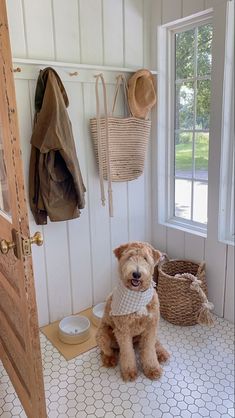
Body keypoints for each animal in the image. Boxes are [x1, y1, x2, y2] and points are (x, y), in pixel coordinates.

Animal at [96, 242, 170, 382]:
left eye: (146, 259)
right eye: (129, 257)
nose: (136, 274)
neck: (137, 295)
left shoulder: (151, 327)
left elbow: (149, 350)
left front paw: (152, 369)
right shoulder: (123, 330)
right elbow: (127, 352)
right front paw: (129, 372)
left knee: (152, 343)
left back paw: (161, 353)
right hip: (103, 332)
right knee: (105, 349)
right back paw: (109, 359)